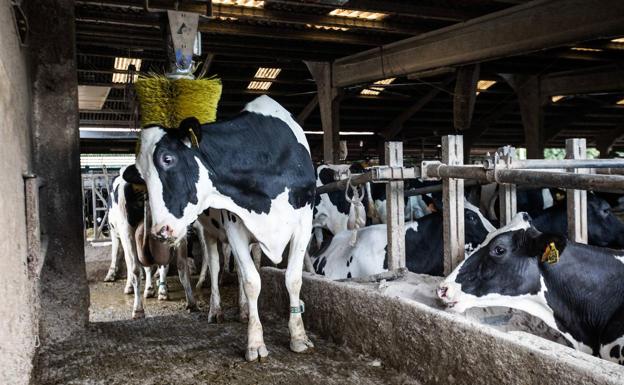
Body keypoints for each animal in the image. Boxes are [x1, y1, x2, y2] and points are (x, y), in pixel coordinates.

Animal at [123, 95, 316, 360]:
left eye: (167, 159)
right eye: (141, 176)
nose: (161, 230)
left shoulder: (304, 222)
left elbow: (293, 279)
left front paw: (299, 336)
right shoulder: (234, 227)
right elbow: (252, 282)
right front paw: (255, 343)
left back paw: (243, 311)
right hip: (209, 233)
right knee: (216, 267)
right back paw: (216, 310)